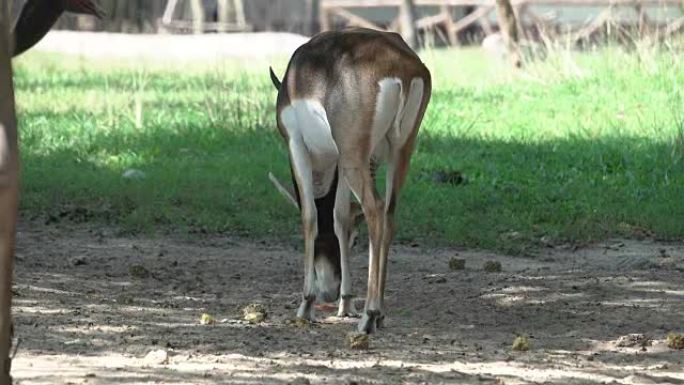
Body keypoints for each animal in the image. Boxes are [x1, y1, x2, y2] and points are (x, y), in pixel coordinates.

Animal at [270, 27, 430, 332]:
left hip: (356, 156)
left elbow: (310, 215)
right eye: (355, 240)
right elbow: (340, 217)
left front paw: (306, 305)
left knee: (375, 210)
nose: (329, 292)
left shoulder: (296, 144)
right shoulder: (339, 162)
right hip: (400, 151)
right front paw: (345, 303)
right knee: (389, 216)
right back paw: (379, 314)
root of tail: (402, 68)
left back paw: (370, 316)